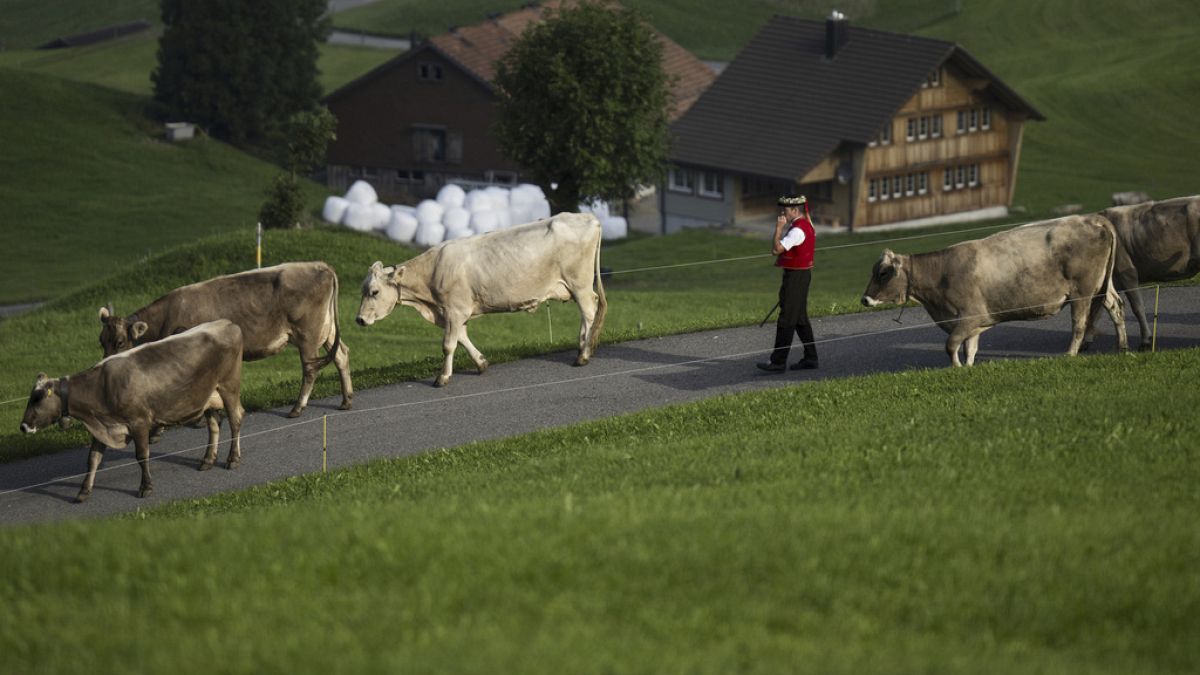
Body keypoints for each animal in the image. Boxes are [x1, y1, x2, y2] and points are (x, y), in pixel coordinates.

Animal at [21, 319, 246, 499]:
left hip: (229, 387)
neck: (101, 386)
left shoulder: (139, 422)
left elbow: (141, 455)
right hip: (207, 397)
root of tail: (226, 323)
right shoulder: (101, 427)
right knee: (215, 425)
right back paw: (208, 459)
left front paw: (146, 487)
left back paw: (233, 459)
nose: (23, 426)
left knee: (235, 419)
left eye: (38, 398)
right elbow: (92, 459)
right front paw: (84, 491)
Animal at [98, 261, 350, 415]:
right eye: (101, 340)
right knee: (341, 356)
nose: (105, 366)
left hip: (308, 335)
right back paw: (346, 400)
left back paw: (297, 408)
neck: (166, 316)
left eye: (120, 342)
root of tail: (320, 265)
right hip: (327, 331)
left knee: (310, 369)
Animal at [352, 210, 600, 384]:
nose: (359, 320)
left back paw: (584, 354)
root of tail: (587, 217)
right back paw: (583, 346)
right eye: (362, 291)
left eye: (374, 292)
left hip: (579, 283)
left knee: (589, 312)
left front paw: (442, 378)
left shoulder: (455, 309)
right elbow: (462, 338)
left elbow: (448, 344)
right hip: (576, 287)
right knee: (587, 313)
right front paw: (481, 363)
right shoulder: (453, 312)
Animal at [859, 213, 1128, 362]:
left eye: (883, 273)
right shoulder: (974, 325)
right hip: (1102, 286)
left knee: (1079, 324)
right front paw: (966, 370)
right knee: (1116, 307)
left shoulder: (969, 317)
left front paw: (957, 369)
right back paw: (1121, 347)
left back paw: (1070, 353)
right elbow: (969, 350)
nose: (865, 300)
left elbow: (951, 347)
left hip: (1082, 292)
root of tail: (1090, 218)